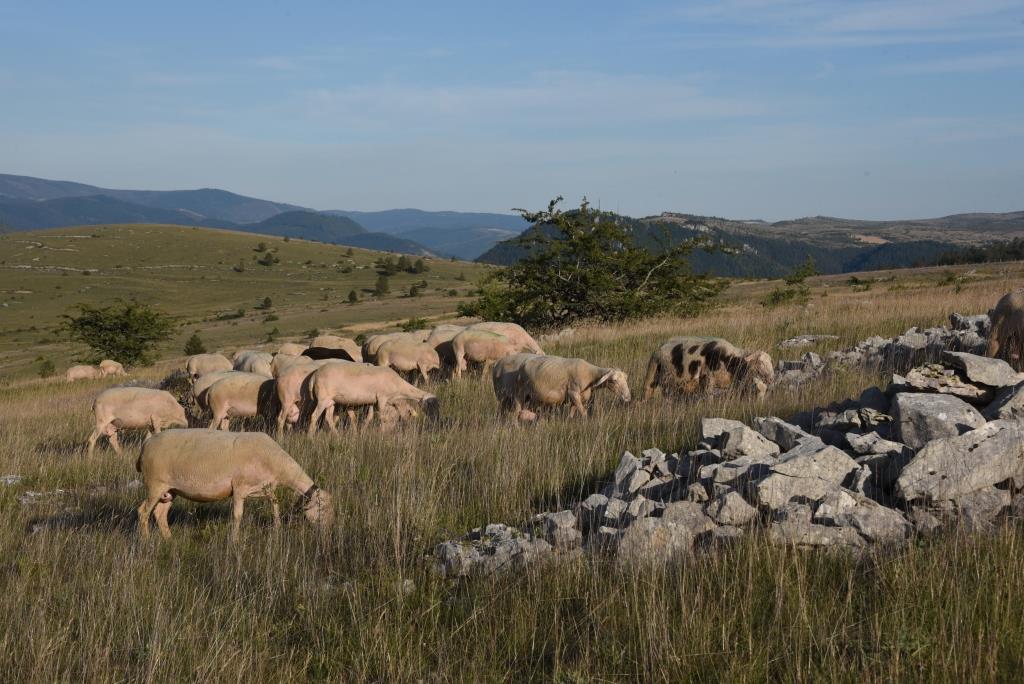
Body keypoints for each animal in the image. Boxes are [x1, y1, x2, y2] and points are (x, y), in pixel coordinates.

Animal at [135, 432, 331, 540]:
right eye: (322, 508)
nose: (328, 532)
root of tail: (146, 444)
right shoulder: (239, 488)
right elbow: (237, 516)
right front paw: (235, 541)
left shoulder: (263, 488)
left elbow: (275, 504)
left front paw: (277, 528)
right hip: (155, 484)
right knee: (143, 512)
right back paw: (146, 541)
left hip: (169, 490)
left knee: (160, 514)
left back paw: (169, 540)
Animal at [301, 360, 434, 436]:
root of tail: (314, 376)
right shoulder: (381, 398)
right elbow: (382, 417)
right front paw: (382, 433)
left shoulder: (373, 401)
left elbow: (369, 417)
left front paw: (363, 432)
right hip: (322, 399)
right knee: (314, 416)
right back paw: (310, 437)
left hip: (330, 401)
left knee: (328, 418)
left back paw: (337, 436)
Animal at [491, 352, 626, 417]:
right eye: (614, 380)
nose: (627, 398)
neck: (589, 374)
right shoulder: (573, 392)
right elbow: (583, 413)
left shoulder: (575, 398)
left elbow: (572, 412)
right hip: (512, 395)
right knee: (514, 411)